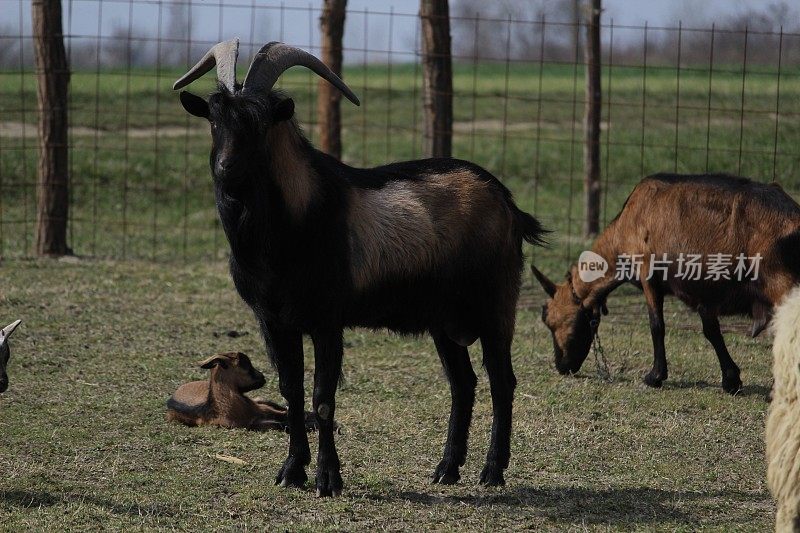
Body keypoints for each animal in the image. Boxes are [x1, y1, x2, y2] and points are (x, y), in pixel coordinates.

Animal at [174, 39, 544, 496]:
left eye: (260, 123)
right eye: (214, 119)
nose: (227, 169)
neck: (294, 221)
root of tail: (507, 202)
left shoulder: (327, 319)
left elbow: (322, 397)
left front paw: (328, 480)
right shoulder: (274, 319)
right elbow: (292, 391)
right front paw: (292, 471)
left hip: (496, 304)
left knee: (501, 381)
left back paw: (492, 471)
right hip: (444, 321)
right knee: (464, 384)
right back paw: (446, 468)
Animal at [532, 172, 800, 392]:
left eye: (549, 319)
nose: (562, 366)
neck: (627, 223)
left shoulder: (648, 274)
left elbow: (657, 325)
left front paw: (655, 376)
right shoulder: (701, 294)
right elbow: (711, 330)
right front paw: (731, 380)